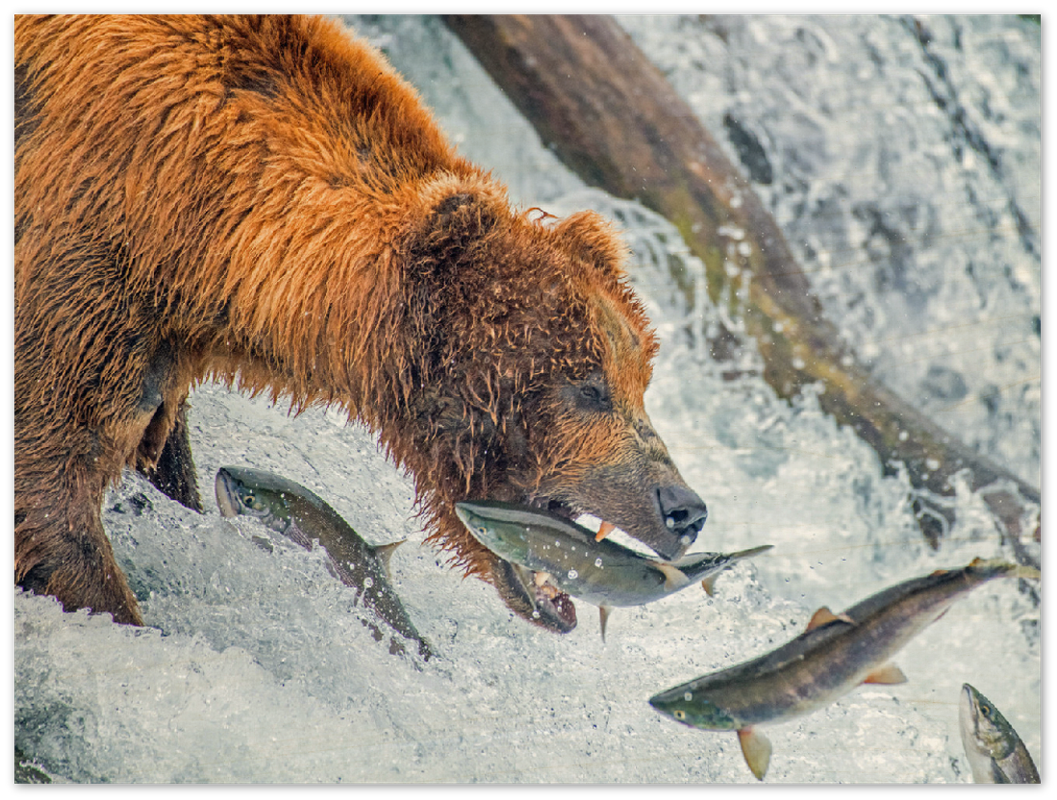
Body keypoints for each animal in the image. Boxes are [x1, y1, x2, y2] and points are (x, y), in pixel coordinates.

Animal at [14, 14, 707, 631]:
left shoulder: (160, 339)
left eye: (639, 380)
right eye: (588, 386)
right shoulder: (86, 262)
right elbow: (49, 490)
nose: (684, 508)